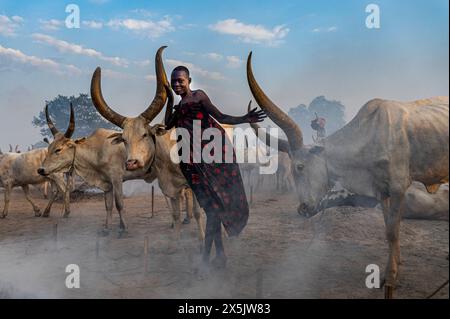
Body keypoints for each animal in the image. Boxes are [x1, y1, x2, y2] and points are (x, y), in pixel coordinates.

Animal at [89, 46, 204, 248]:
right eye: (124, 139)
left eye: (144, 134)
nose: (131, 163)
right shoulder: (170, 186)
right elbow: (175, 212)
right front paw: (176, 240)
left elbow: (199, 212)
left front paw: (202, 240)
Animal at [248, 51, 448, 298]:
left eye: (300, 167)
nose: (303, 209)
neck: (369, 135)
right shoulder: (382, 191)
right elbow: (389, 229)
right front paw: (393, 268)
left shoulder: (399, 187)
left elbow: (393, 231)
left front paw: (391, 277)